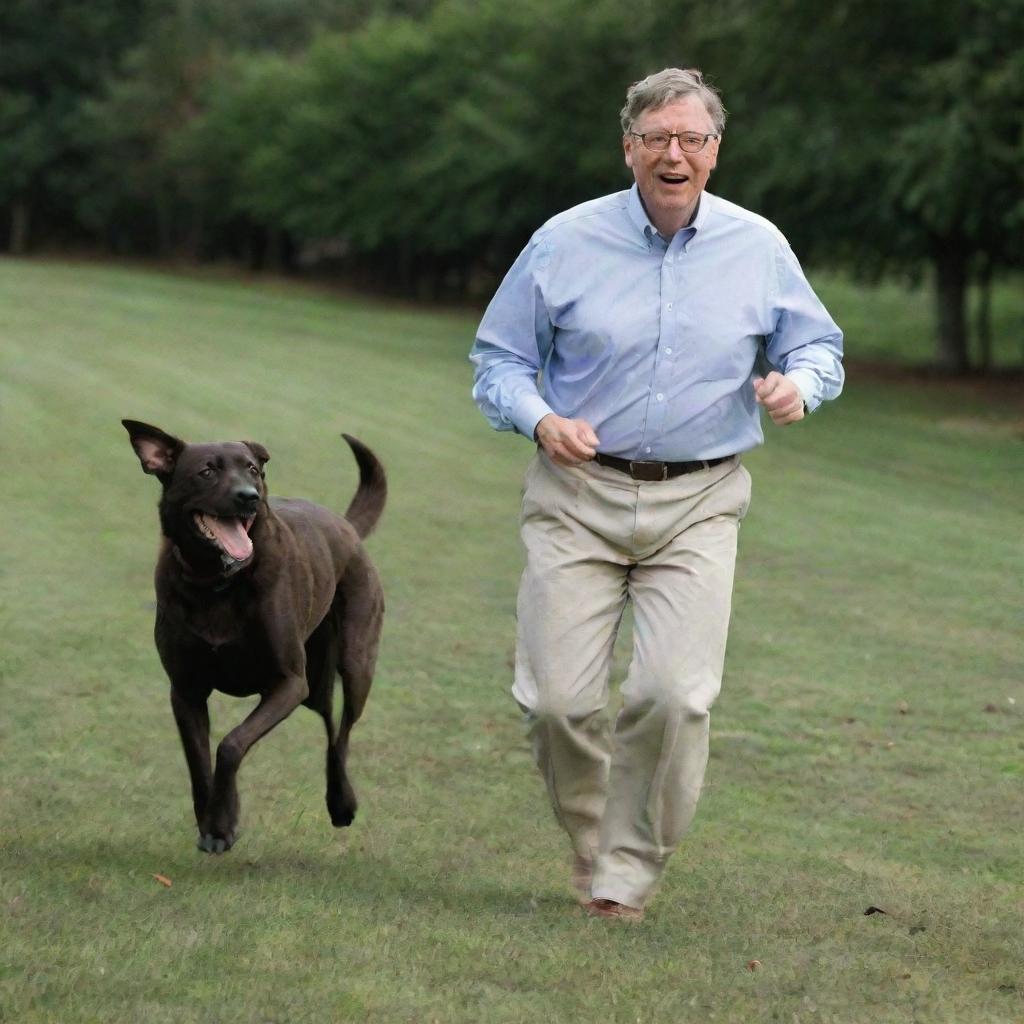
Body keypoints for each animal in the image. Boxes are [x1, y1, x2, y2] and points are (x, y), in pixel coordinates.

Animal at [123, 419, 385, 851]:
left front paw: (221, 822)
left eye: (252, 470)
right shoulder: (185, 689)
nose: (249, 497)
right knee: (330, 722)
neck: (217, 583)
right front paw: (212, 820)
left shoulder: (288, 683)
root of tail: (347, 526)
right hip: (316, 686)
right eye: (207, 471)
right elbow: (198, 760)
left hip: (352, 663)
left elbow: (230, 744)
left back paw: (341, 803)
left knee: (342, 732)